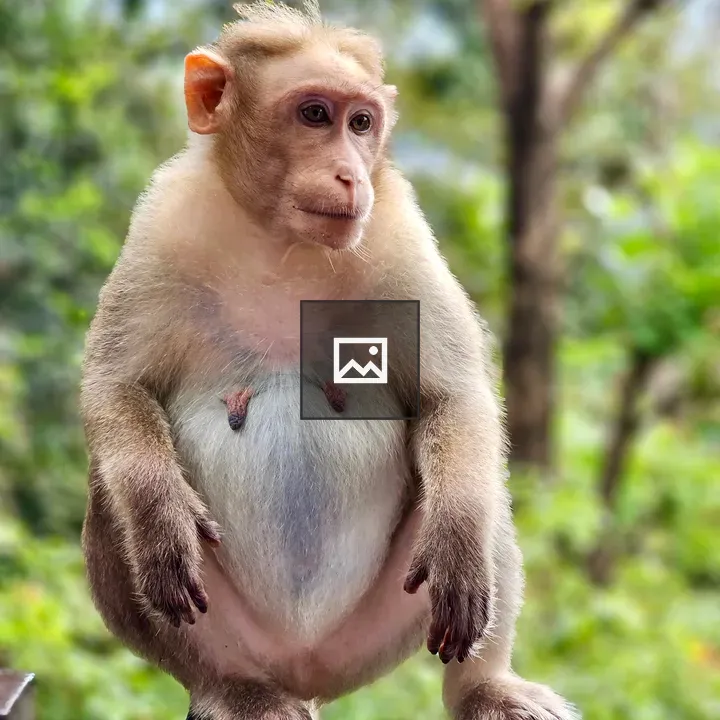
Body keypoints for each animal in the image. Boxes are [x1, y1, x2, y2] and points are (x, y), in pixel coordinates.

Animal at [79, 2, 580, 719]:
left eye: (361, 123)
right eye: (315, 114)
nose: (351, 174)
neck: (281, 241)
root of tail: (305, 670)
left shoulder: (400, 233)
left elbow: (454, 397)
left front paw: (458, 541)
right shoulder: (163, 224)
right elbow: (116, 387)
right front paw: (159, 517)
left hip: (382, 623)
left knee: (482, 499)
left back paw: (486, 685)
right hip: (236, 634)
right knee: (109, 491)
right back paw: (233, 686)